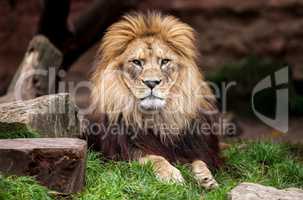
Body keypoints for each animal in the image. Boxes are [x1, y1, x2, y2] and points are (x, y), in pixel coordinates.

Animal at [88, 11, 223, 190]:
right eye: (137, 62)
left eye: (164, 61)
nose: (151, 83)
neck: (159, 118)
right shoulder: (121, 156)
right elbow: (155, 158)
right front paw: (171, 175)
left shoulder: (196, 149)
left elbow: (199, 161)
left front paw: (206, 178)